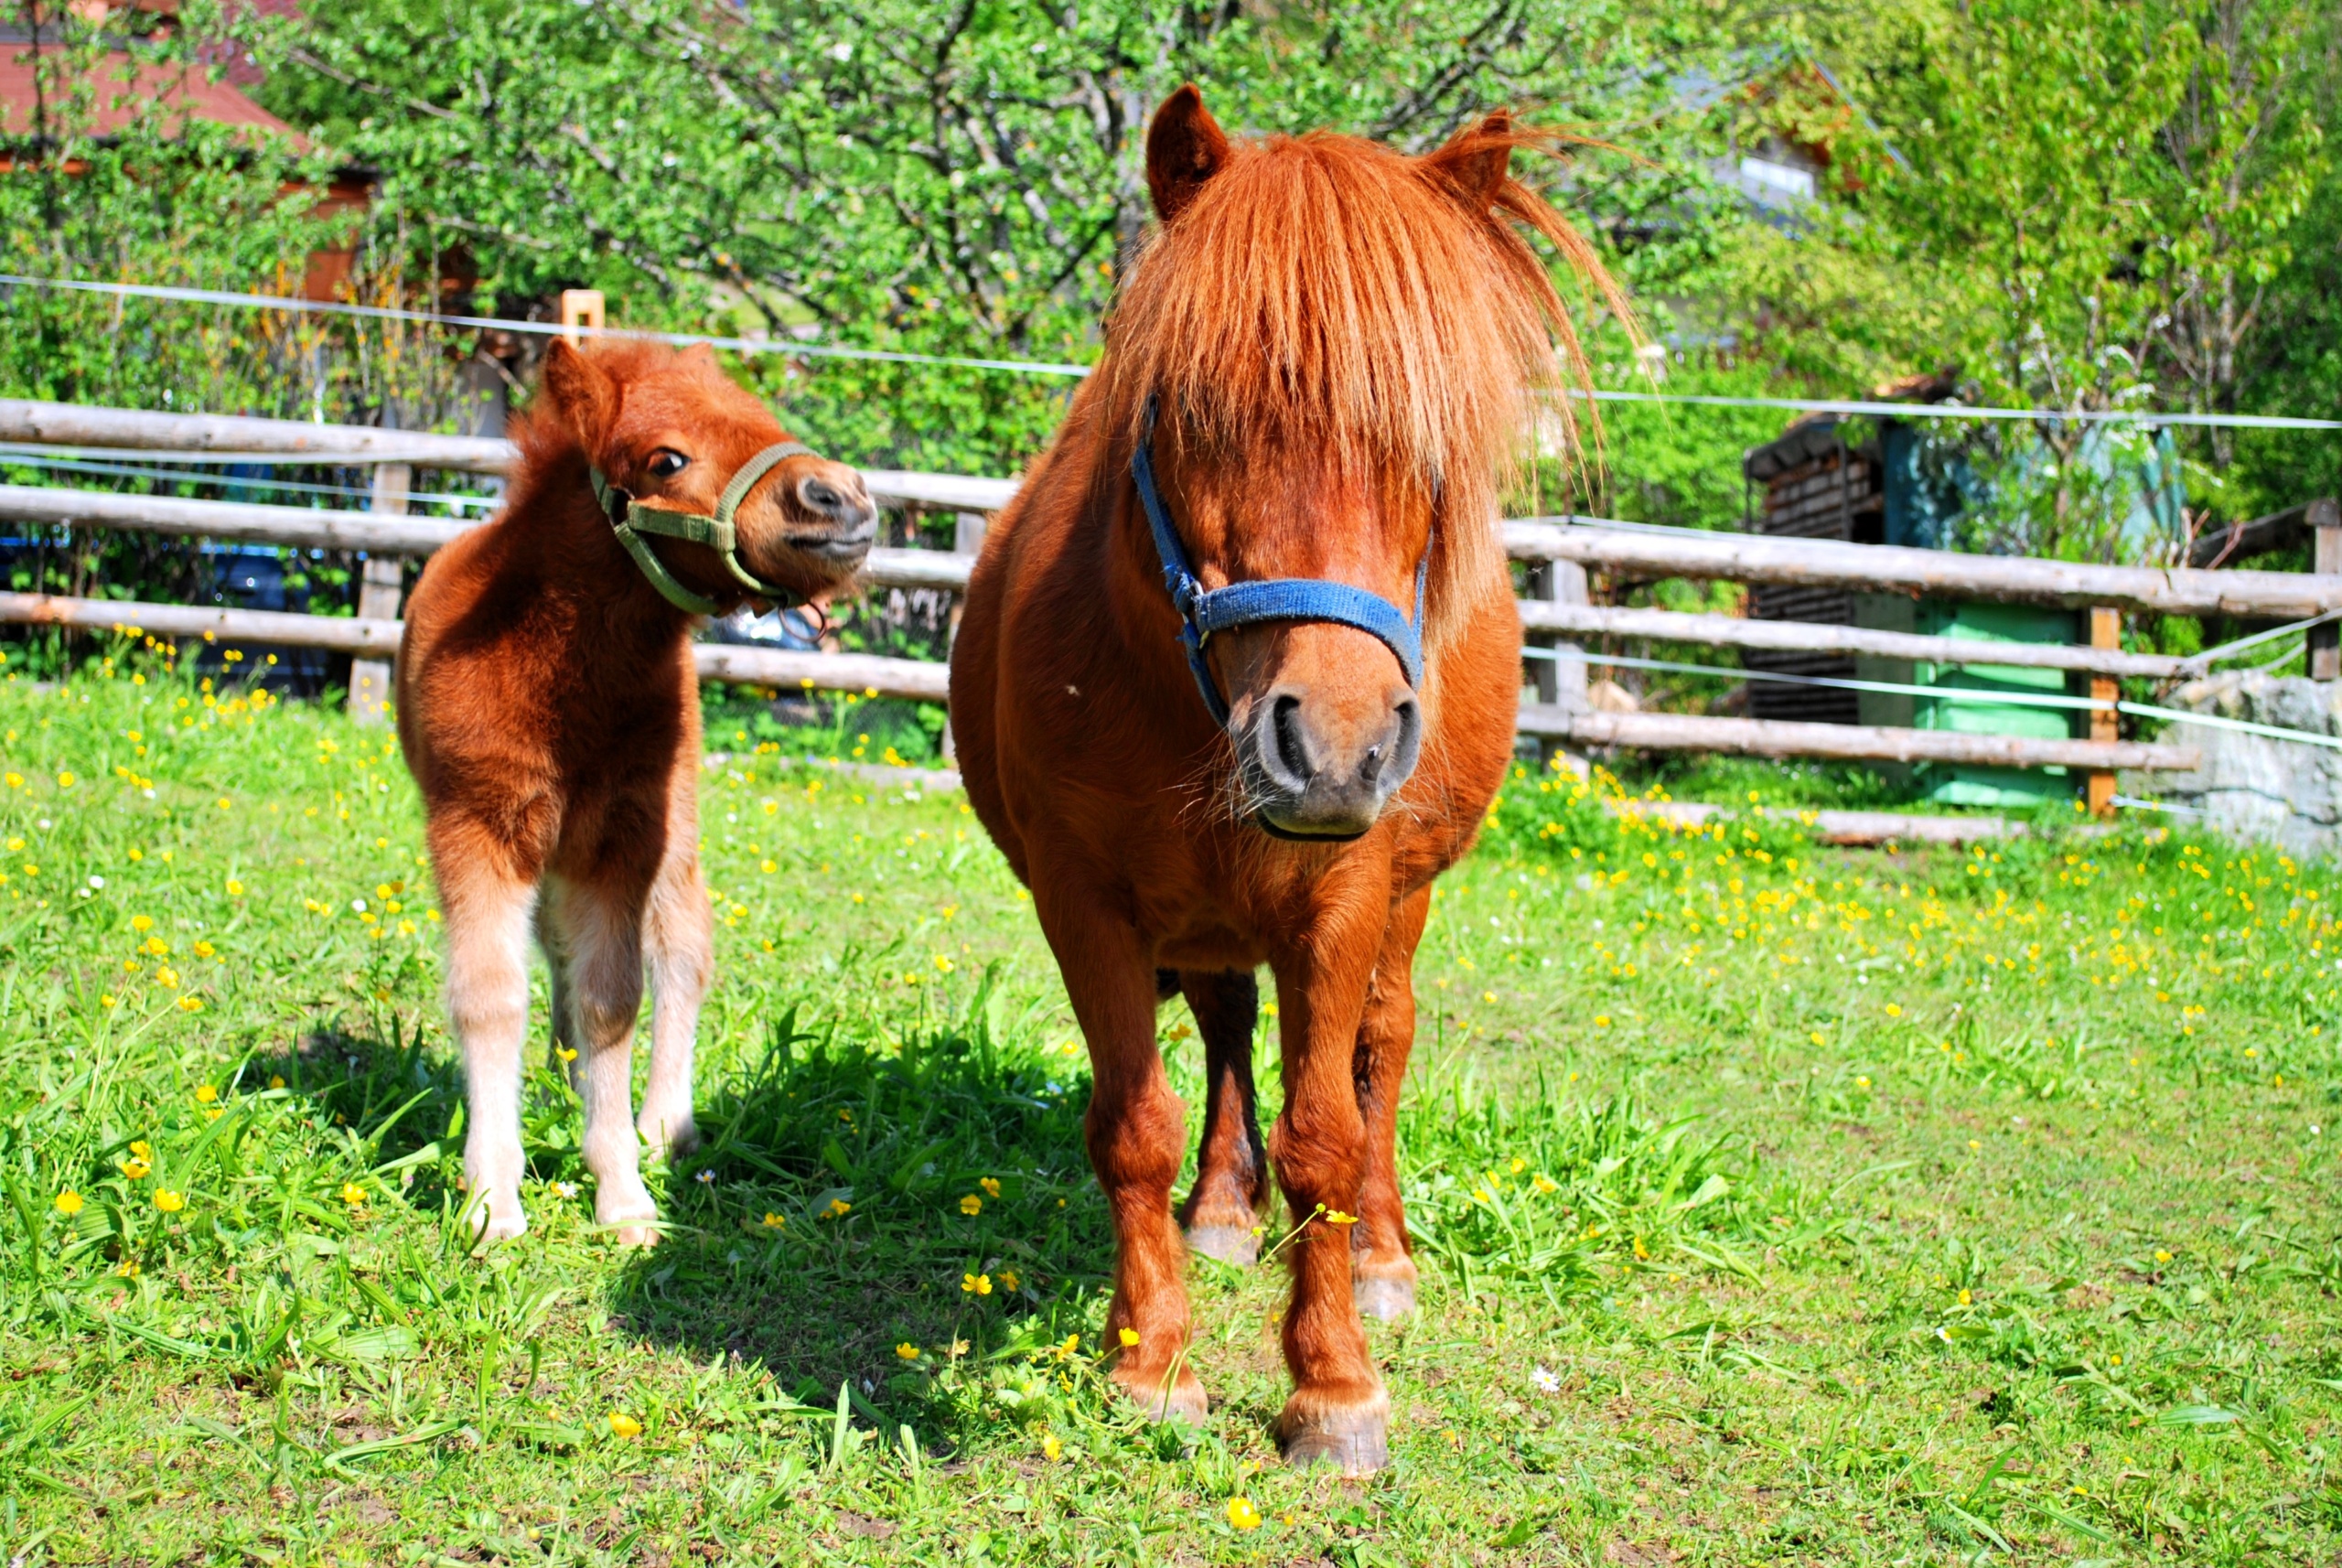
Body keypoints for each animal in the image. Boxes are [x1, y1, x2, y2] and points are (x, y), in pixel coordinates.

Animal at [403, 344, 880, 1254]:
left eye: (762, 414)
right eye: (666, 460)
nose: (840, 497)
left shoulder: (622, 839)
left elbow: (613, 999)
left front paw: (623, 1192)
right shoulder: (476, 828)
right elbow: (491, 995)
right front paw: (492, 1203)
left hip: (675, 826)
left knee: (685, 948)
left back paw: (663, 1126)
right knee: (555, 948)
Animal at [951, 89, 1629, 1478]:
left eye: (1434, 450)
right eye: (1185, 414)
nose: (1334, 745)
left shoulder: (1343, 896)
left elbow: (1327, 1131)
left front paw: (1333, 1384)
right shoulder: (1084, 898)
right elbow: (1133, 1125)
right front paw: (1151, 1358)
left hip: (1402, 897)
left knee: (1381, 1049)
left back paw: (1383, 1255)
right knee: (1221, 1028)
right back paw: (1220, 1207)